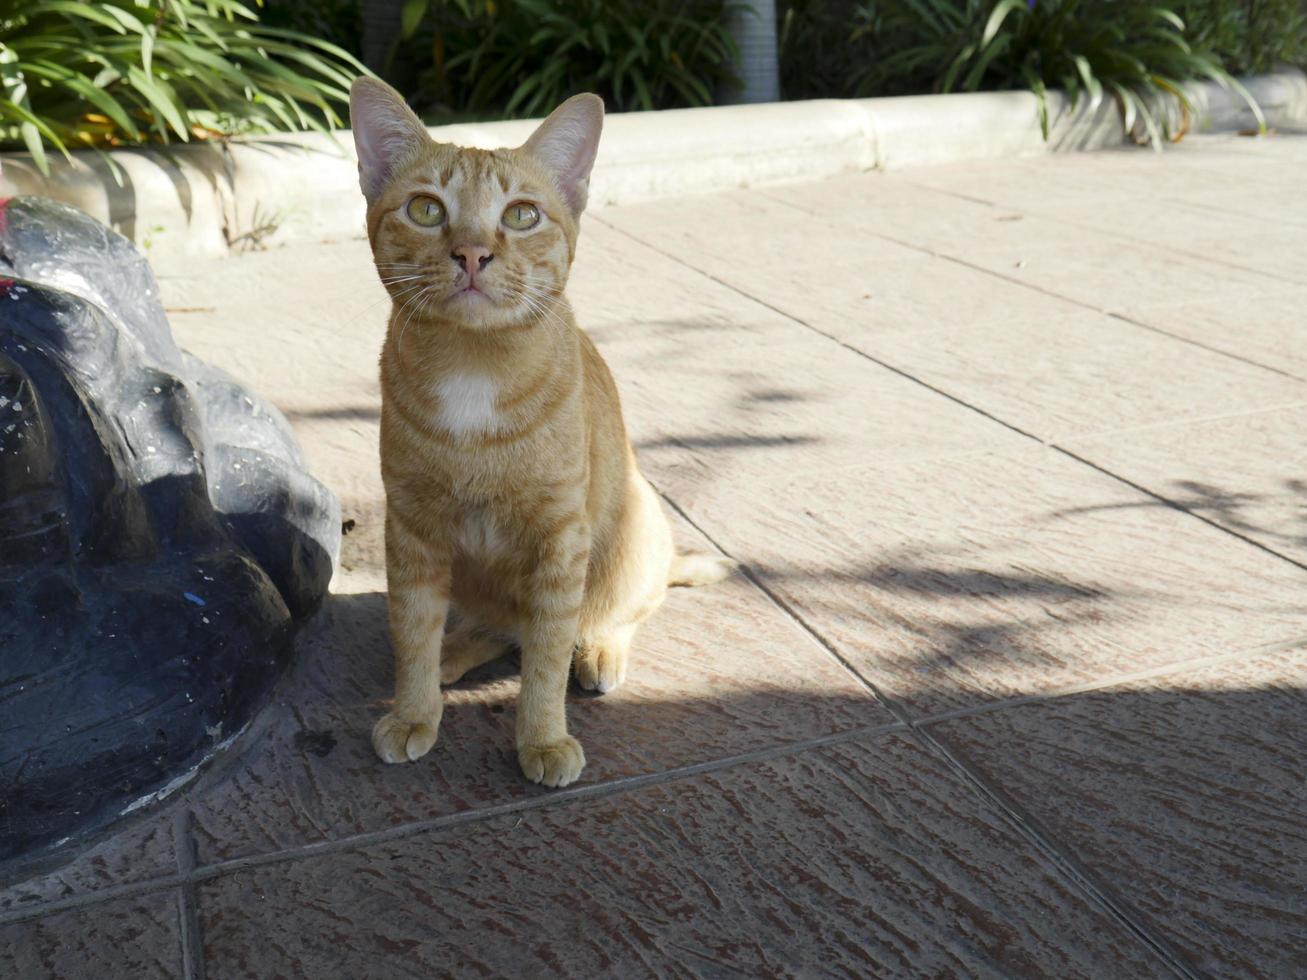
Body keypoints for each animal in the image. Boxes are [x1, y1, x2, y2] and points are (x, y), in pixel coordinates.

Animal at [352, 78, 731, 789]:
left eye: (522, 215)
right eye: (425, 209)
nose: (472, 252)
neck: (474, 371)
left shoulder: (559, 539)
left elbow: (548, 654)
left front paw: (544, 738)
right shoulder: (411, 527)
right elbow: (412, 627)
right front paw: (416, 708)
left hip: (631, 534)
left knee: (615, 613)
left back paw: (601, 650)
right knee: (500, 627)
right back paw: (454, 653)